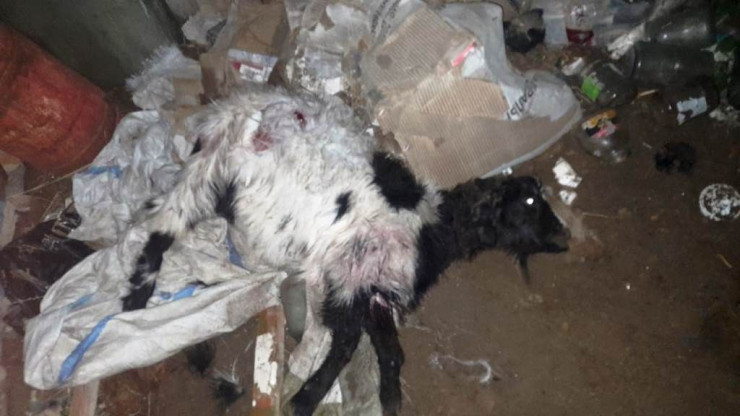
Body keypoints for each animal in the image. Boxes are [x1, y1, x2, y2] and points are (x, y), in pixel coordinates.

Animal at [120, 86, 570, 415]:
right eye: (530, 201)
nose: (564, 237)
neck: (433, 227)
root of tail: (235, 109)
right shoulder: (357, 275)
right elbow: (358, 344)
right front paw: (312, 398)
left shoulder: (371, 286)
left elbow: (380, 347)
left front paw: (379, 398)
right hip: (212, 171)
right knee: (161, 229)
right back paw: (134, 305)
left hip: (213, 176)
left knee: (159, 217)